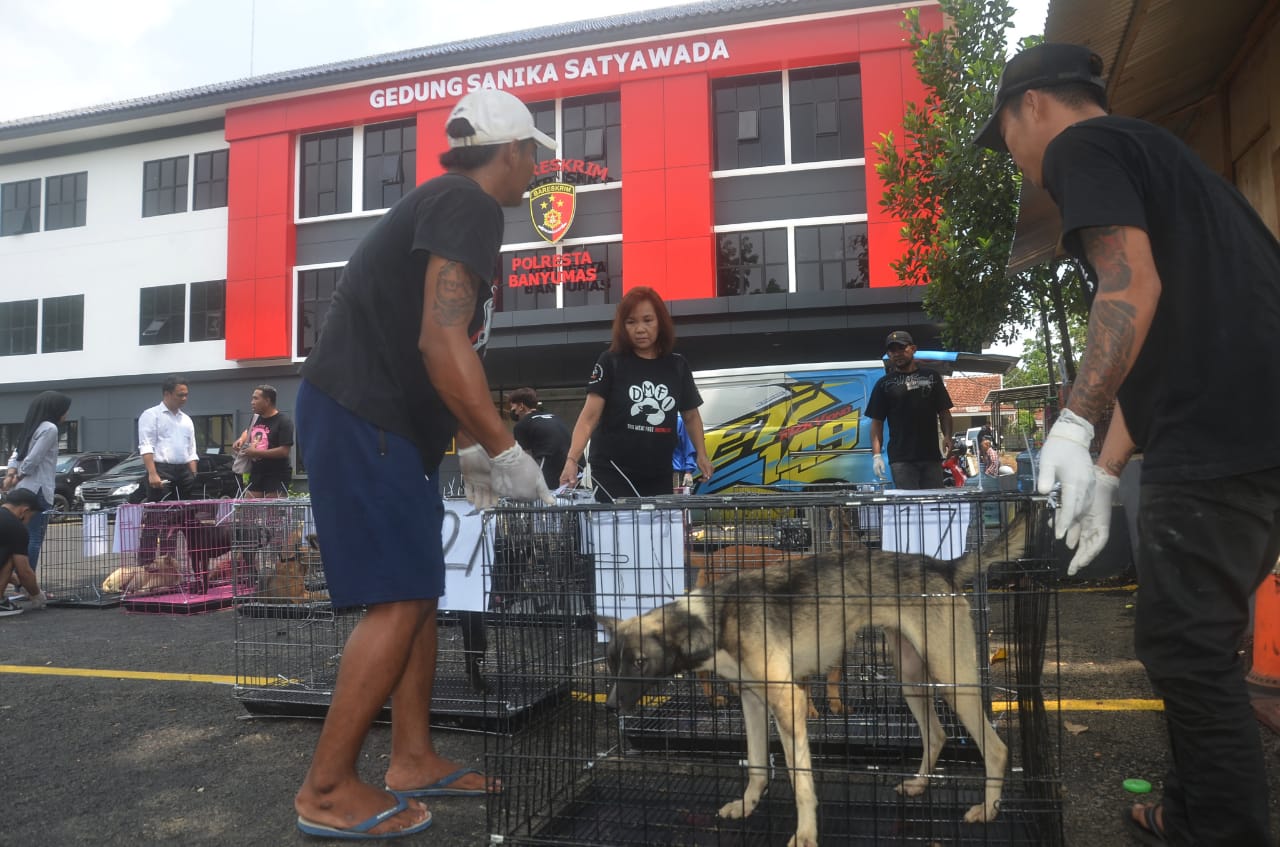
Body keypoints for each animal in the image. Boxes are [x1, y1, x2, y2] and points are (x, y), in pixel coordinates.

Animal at [596, 504, 1029, 847]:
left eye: (639, 662)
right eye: (612, 662)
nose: (611, 706)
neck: (718, 618)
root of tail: (942, 565)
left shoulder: (789, 702)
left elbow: (799, 778)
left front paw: (805, 834)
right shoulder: (753, 700)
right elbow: (757, 763)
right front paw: (748, 804)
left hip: (951, 676)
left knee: (996, 749)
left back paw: (988, 808)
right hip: (910, 676)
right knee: (937, 735)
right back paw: (920, 784)